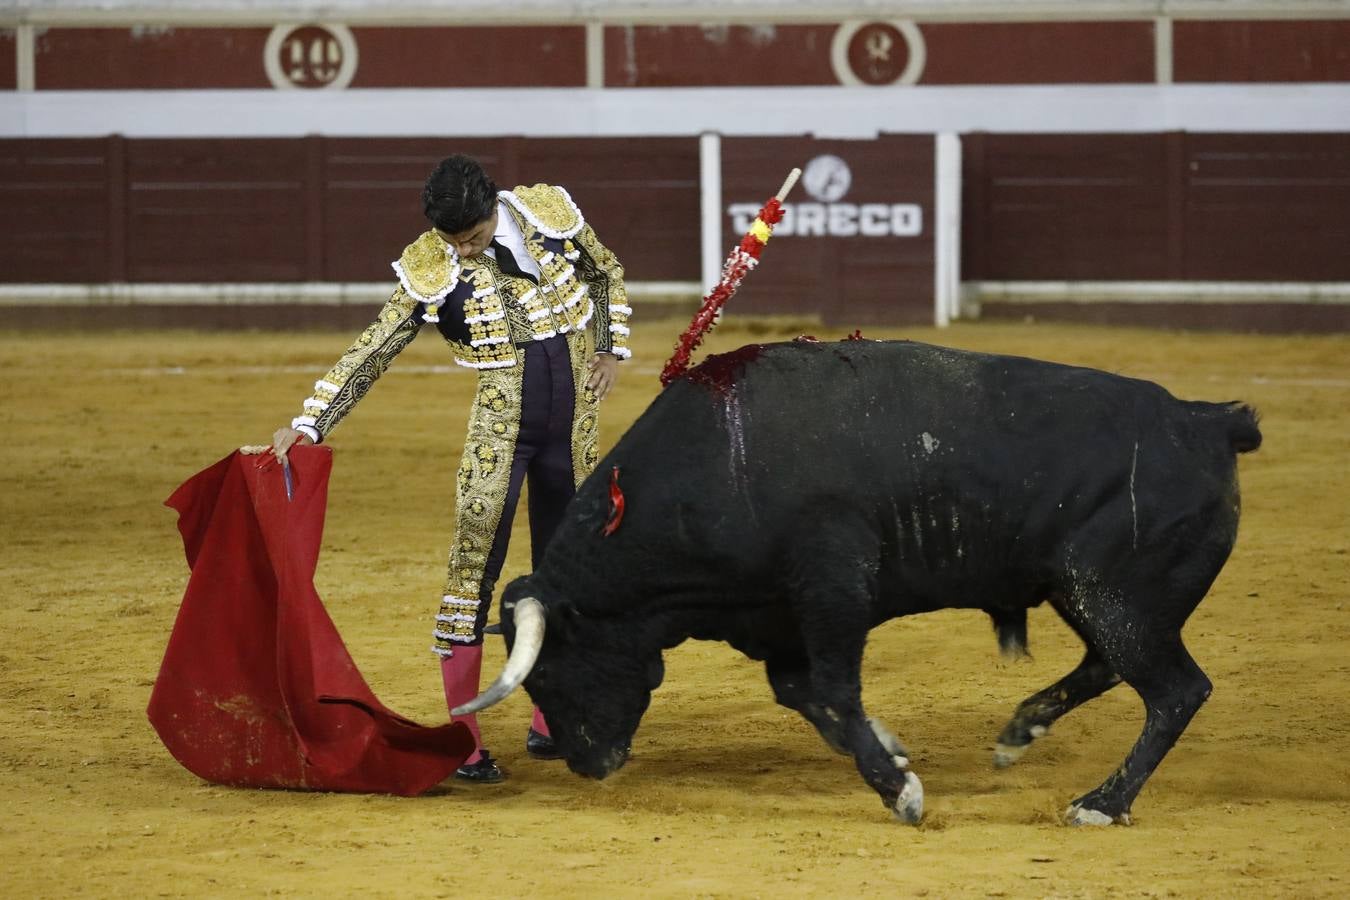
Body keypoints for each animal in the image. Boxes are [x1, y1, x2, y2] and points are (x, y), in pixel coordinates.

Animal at [459, 337, 1258, 825]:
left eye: (549, 674)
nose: (587, 765)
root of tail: (1207, 422)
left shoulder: (834, 587)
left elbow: (837, 690)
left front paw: (900, 791)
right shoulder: (775, 616)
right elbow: (804, 694)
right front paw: (891, 751)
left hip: (1116, 597)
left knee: (1175, 690)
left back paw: (1100, 802)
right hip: (1089, 594)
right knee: (1108, 665)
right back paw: (1018, 733)